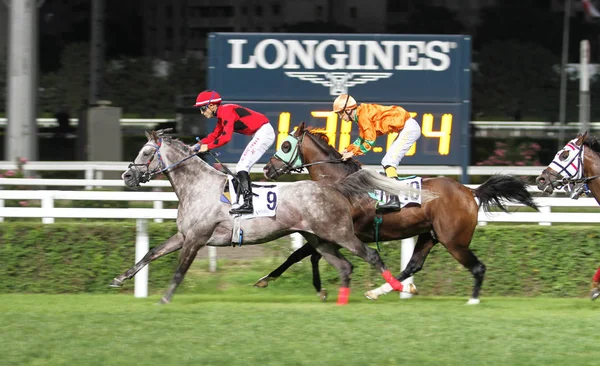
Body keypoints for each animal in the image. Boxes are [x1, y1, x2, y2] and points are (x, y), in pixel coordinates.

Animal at [113, 130, 436, 304]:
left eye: (145, 153)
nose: (127, 176)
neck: (198, 186)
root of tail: (333, 187)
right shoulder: (183, 235)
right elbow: (151, 253)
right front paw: (119, 278)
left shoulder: (196, 238)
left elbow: (180, 270)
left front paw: (165, 298)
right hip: (319, 239)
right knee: (344, 266)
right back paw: (340, 299)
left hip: (340, 234)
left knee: (371, 255)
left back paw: (394, 287)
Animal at [258, 122, 540, 304]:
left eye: (286, 145)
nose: (268, 169)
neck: (341, 184)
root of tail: (470, 192)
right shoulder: (331, 233)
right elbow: (306, 255)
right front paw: (312, 287)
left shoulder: (341, 233)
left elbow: (304, 254)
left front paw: (269, 279)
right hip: (429, 235)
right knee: (414, 265)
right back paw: (382, 290)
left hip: (454, 240)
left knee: (478, 267)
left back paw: (472, 301)